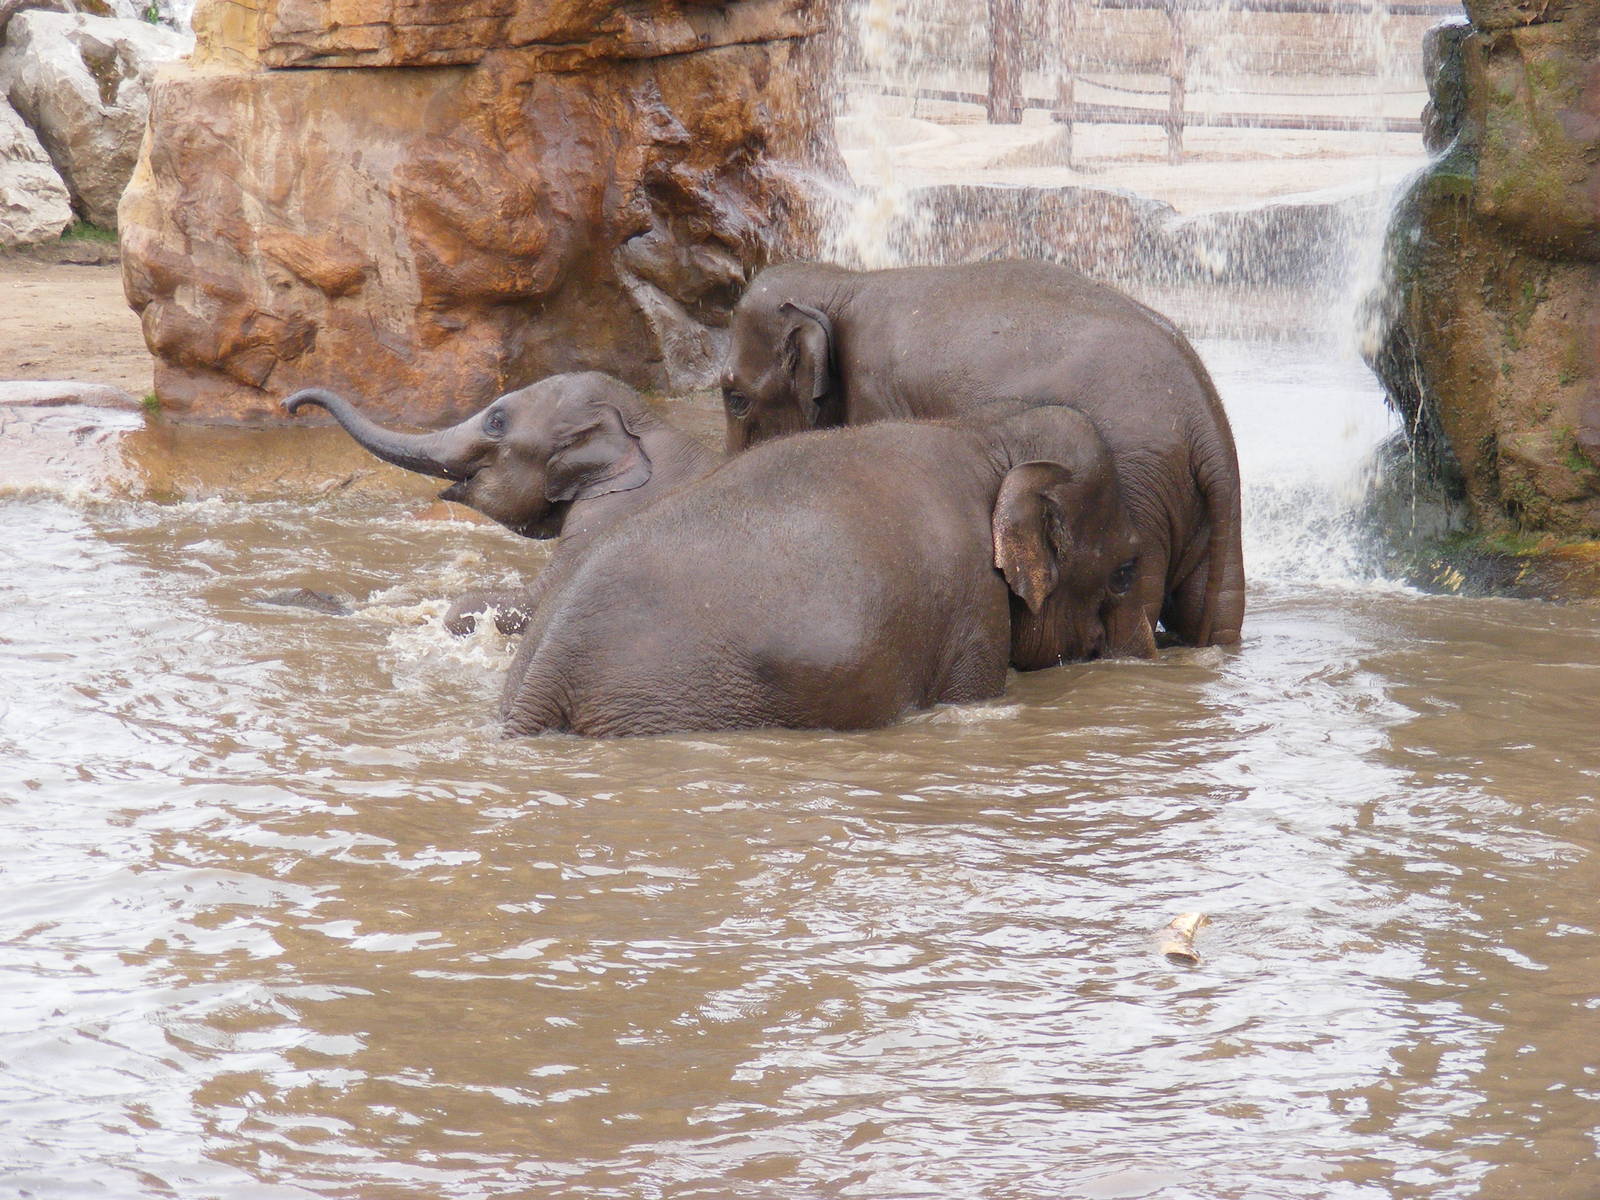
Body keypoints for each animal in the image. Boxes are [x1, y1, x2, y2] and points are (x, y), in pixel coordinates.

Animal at [718, 260, 1246, 652]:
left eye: (735, 399)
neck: (842, 283)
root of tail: (1207, 424)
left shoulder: (877, 394)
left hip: (1138, 488)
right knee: (1210, 607)